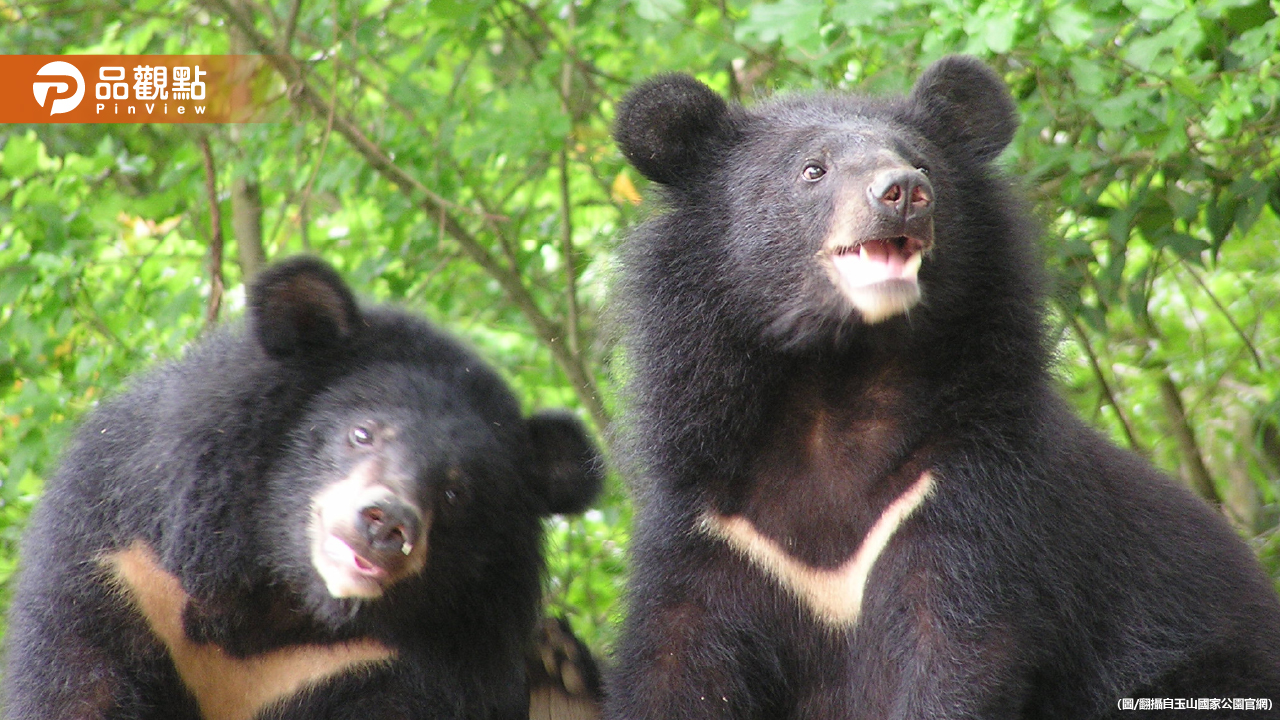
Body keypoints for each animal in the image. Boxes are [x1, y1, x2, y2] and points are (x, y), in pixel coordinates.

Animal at [3, 256, 603, 720]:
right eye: (361, 433)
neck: (279, 601)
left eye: (458, 494)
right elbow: (76, 685)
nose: (387, 523)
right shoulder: (129, 573)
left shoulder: (379, 666)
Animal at [605, 56, 1280, 719]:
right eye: (812, 169)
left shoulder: (969, 498)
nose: (904, 192)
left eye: (923, 163)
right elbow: (677, 665)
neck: (837, 382)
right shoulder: (716, 526)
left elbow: (956, 653)